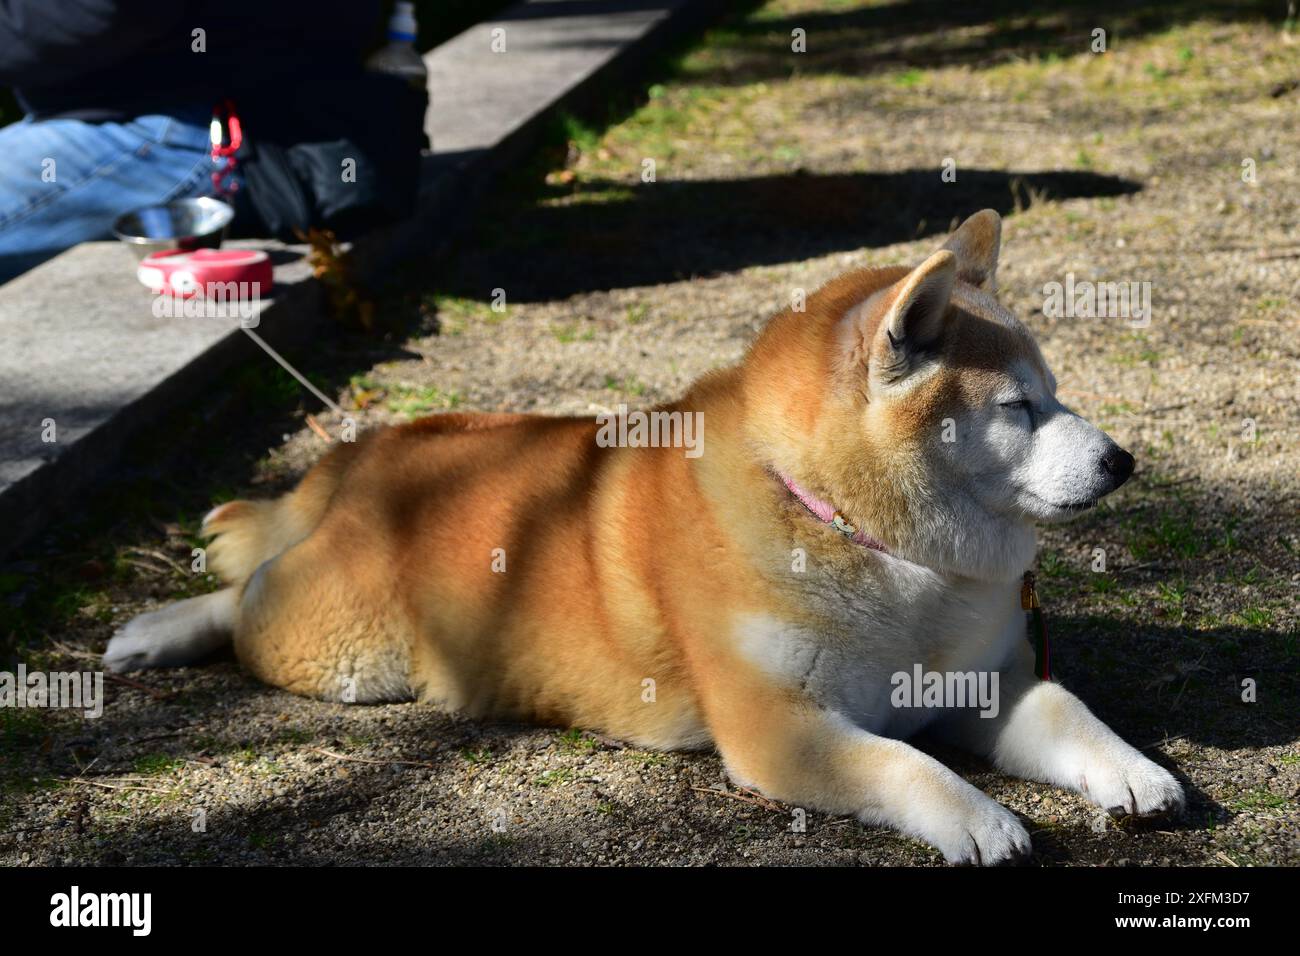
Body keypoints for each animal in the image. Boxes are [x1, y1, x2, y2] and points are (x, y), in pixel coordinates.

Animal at [106, 210, 1185, 868]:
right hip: (340, 651)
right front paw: (979, 817)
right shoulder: (779, 727)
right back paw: (156, 628)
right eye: (1016, 406)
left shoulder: (984, 681)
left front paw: (1133, 767)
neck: (872, 548)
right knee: (248, 590)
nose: (1122, 460)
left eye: (1056, 393)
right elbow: (905, 764)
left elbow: (1068, 711)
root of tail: (371, 449)